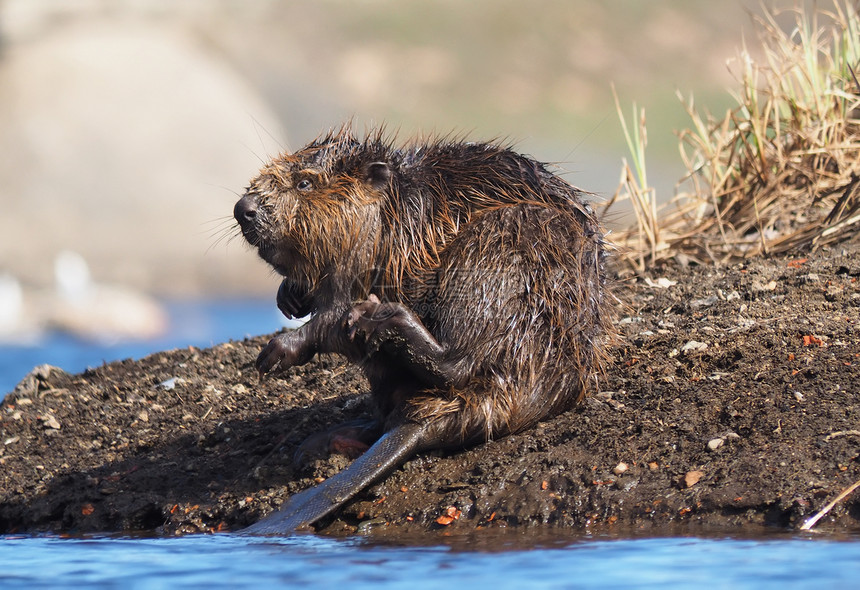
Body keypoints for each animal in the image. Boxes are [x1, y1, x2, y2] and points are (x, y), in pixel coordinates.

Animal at [233, 126, 612, 536]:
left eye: (304, 183)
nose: (244, 209)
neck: (394, 208)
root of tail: (422, 422)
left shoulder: (373, 252)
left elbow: (334, 316)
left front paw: (276, 351)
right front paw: (290, 297)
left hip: (502, 243)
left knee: (459, 363)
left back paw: (383, 318)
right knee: (384, 406)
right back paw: (326, 441)